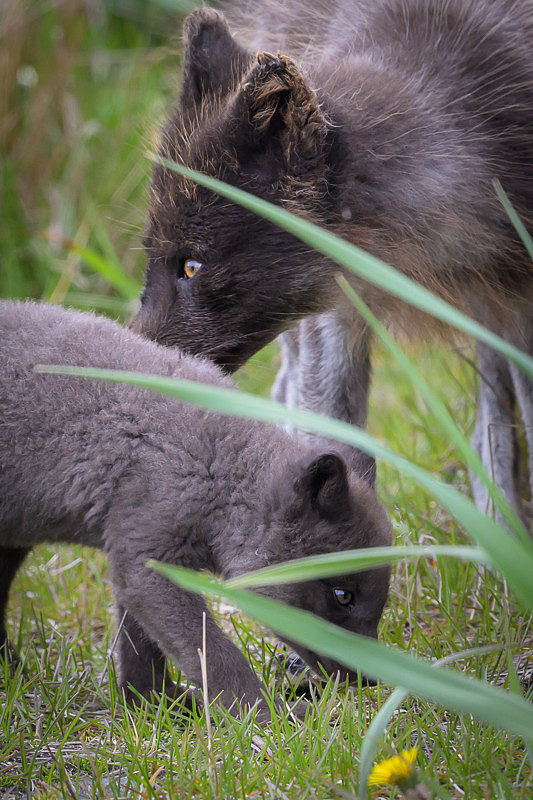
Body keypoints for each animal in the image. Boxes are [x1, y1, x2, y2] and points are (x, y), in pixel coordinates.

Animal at [0, 300, 391, 718]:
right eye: (342, 595)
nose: (372, 680)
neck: (212, 465)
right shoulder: (146, 564)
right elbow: (215, 657)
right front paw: (266, 717)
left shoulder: (137, 553)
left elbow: (142, 650)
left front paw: (156, 705)